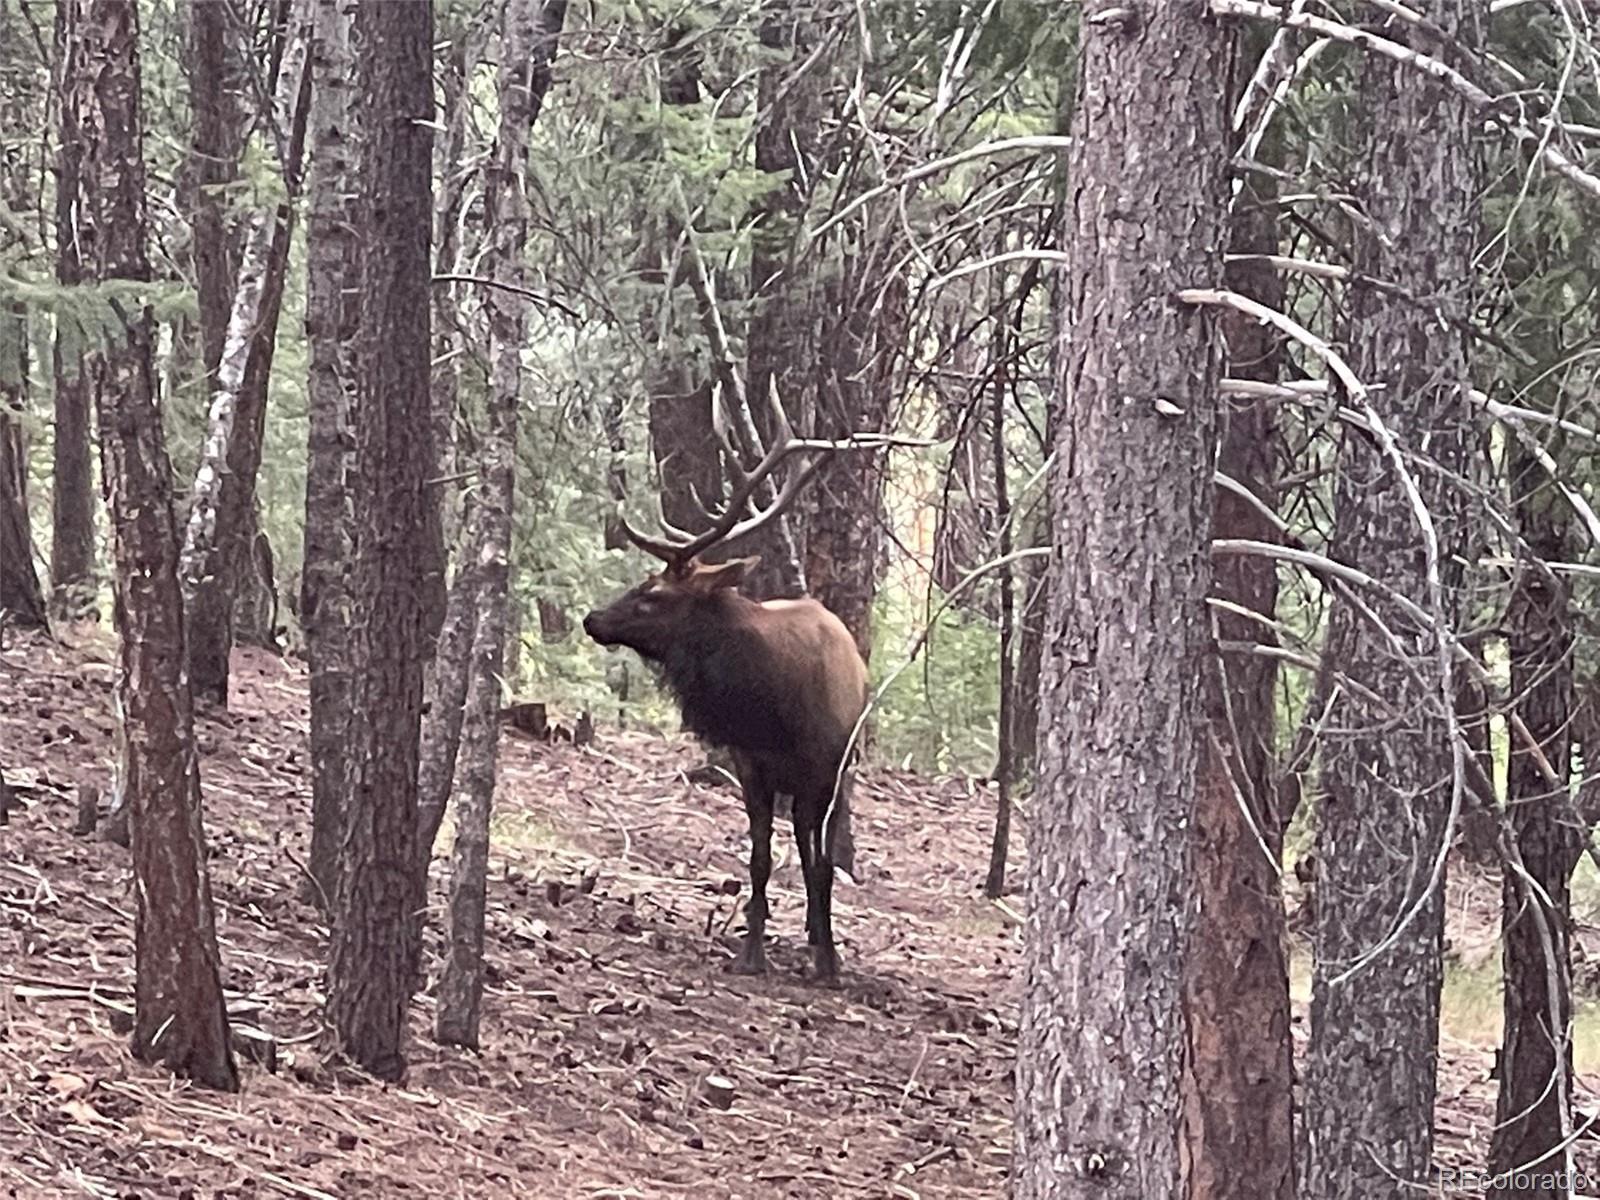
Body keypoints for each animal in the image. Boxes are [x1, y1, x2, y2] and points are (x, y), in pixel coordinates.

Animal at [585, 419, 870, 979]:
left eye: (653, 594)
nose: (592, 618)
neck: (772, 712)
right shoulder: (750, 763)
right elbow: (760, 858)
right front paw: (752, 951)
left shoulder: (825, 770)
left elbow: (823, 863)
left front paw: (828, 961)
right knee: (799, 843)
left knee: (814, 849)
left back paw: (819, 934)